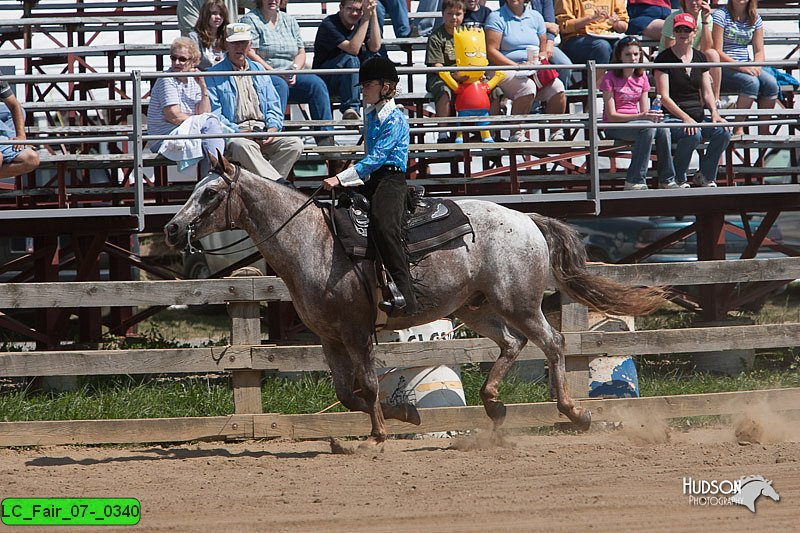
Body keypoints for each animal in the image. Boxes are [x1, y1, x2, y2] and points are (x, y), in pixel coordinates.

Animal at [164, 155, 664, 448]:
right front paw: (404, 414)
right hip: (476, 307)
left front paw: (378, 436)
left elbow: (367, 385)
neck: (314, 242)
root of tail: (527, 218)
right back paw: (493, 406)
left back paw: (575, 413)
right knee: (512, 345)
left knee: (553, 343)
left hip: (519, 302)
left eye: (210, 193)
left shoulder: (357, 332)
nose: (171, 228)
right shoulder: (328, 338)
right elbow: (346, 394)